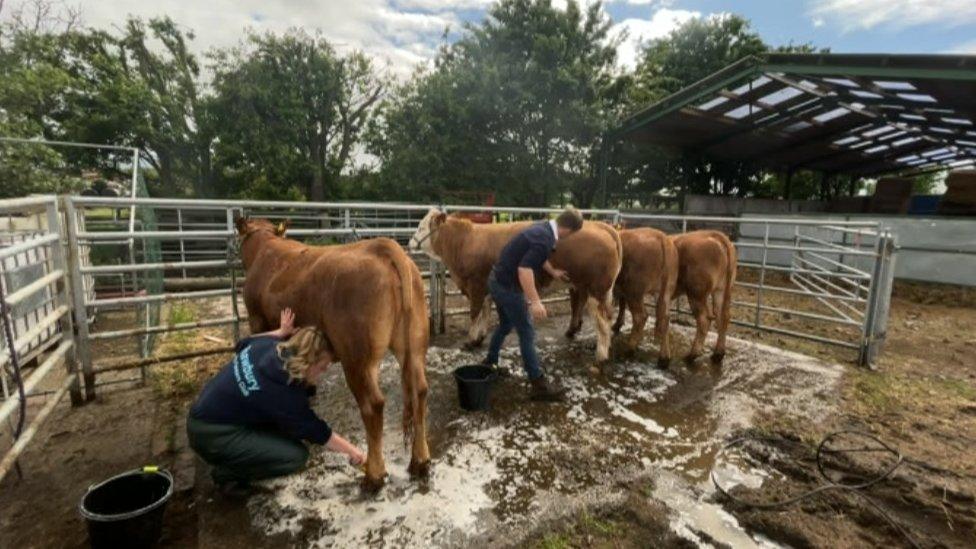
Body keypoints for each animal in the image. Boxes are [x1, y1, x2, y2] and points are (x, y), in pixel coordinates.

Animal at [408, 208, 620, 362]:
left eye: (421, 227)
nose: (409, 242)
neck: (464, 242)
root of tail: (603, 227)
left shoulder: (475, 286)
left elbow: (474, 313)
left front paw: (470, 340)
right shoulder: (485, 289)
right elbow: (485, 312)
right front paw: (479, 337)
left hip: (597, 290)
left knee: (603, 319)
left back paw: (601, 355)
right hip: (584, 286)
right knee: (584, 307)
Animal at [608, 227, 680, 364]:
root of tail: (661, 237)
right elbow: (622, 304)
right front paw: (617, 324)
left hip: (634, 290)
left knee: (641, 316)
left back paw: (630, 348)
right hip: (666, 289)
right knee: (665, 317)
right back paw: (664, 358)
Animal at [676, 229, 736, 362]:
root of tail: (713, 234)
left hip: (696, 292)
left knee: (704, 319)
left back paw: (692, 355)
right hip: (721, 289)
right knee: (723, 317)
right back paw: (718, 354)